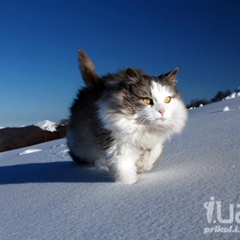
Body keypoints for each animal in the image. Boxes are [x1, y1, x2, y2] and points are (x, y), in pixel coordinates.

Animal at [67, 50, 188, 184]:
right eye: (147, 100)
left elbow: (155, 151)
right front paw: (130, 185)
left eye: (167, 99)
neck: (144, 128)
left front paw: (141, 166)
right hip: (83, 145)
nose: (162, 111)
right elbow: (123, 169)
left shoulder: (152, 141)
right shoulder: (116, 144)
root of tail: (95, 84)